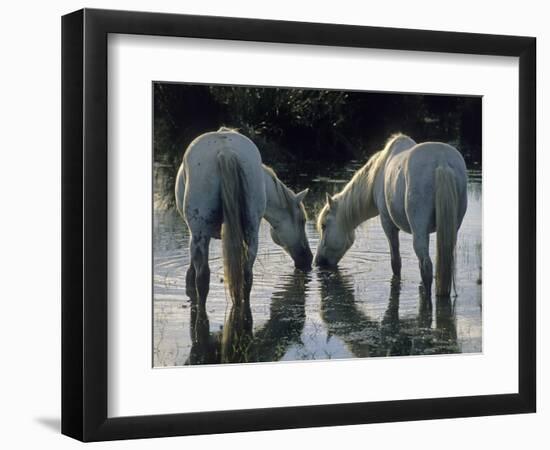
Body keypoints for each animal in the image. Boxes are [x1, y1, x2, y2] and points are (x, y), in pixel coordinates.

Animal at [178, 128, 314, 308]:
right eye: (302, 221)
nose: (308, 259)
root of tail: (225, 151)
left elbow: (190, 274)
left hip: (200, 235)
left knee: (202, 279)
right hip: (251, 231)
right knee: (247, 275)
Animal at [316, 134, 468, 298]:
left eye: (324, 225)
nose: (318, 262)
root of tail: (442, 161)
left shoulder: (388, 224)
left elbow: (395, 263)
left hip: (419, 231)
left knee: (426, 267)